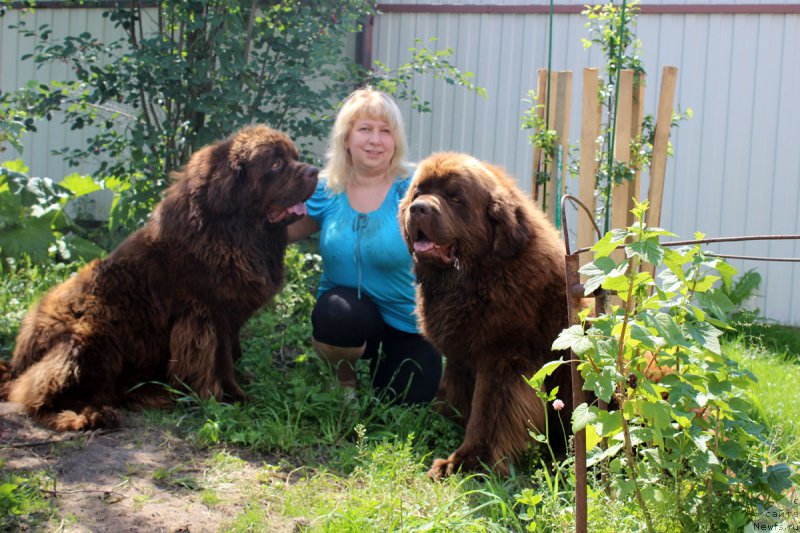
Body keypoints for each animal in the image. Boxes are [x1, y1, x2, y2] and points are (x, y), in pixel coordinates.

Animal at [3, 122, 316, 430]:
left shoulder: (231, 314)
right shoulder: (210, 314)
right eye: (276, 164)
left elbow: (233, 351)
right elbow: (221, 359)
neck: (232, 234)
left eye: (295, 157)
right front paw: (232, 397)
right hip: (88, 332)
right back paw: (89, 415)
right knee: (36, 394)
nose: (314, 171)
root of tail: (17, 360)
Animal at [398, 151, 572, 478]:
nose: (418, 208)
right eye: (418, 192)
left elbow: (487, 414)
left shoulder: (502, 358)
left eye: (455, 197)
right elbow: (453, 394)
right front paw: (438, 423)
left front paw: (465, 462)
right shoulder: (459, 354)